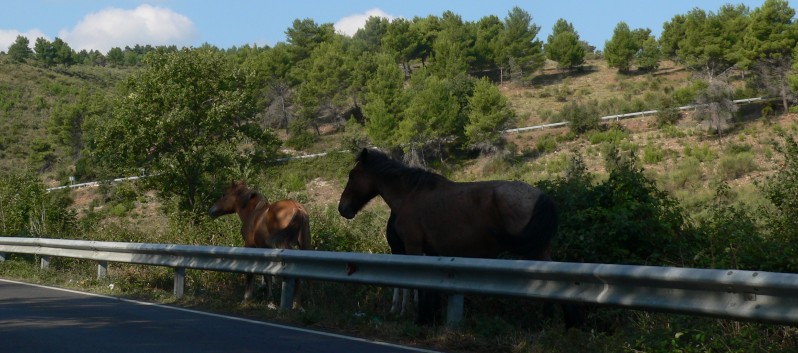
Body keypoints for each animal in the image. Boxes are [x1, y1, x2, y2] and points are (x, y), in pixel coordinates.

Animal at [340, 147, 584, 326]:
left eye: (352, 175)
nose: (342, 208)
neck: (410, 194)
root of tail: (541, 196)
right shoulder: (430, 252)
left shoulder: (413, 246)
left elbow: (418, 286)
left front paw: (421, 317)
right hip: (540, 249)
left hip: (533, 250)